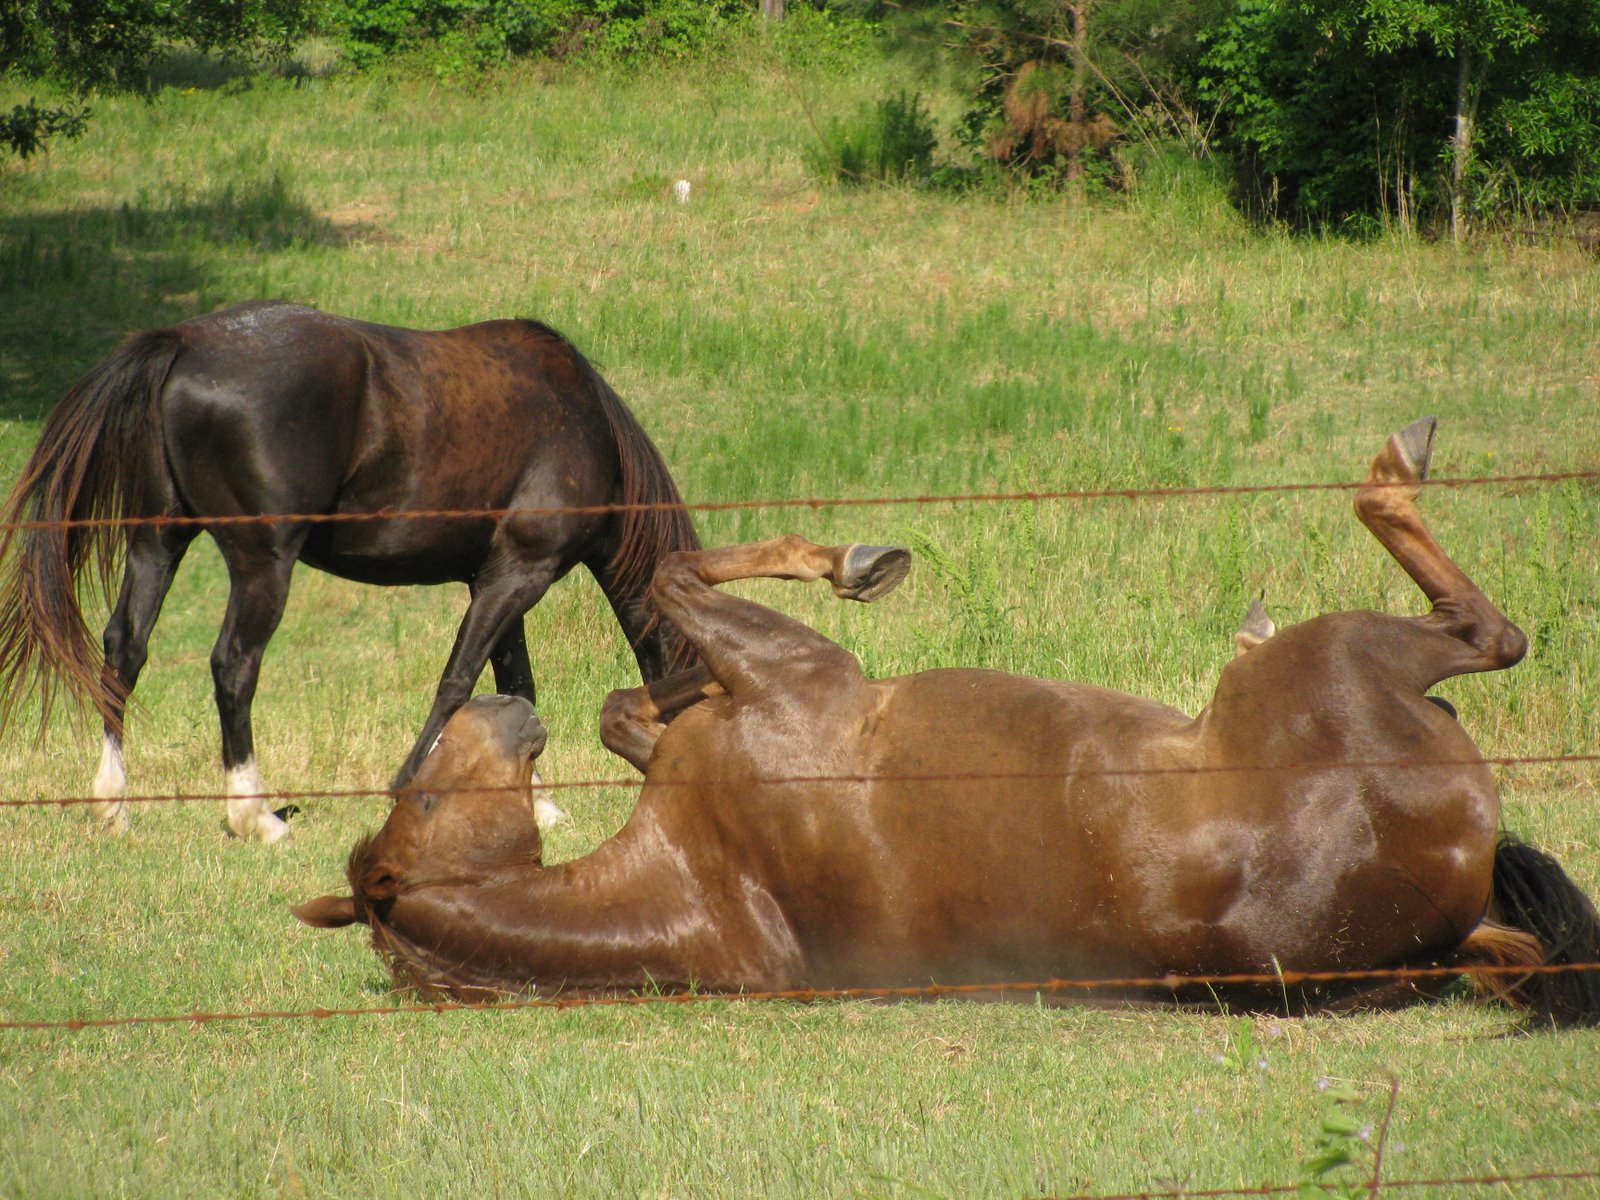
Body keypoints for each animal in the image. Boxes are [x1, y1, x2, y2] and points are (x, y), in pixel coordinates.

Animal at [0, 301, 699, 841]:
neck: (580, 420)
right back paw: (255, 815)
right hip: (262, 565)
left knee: (125, 650)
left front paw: (537, 803)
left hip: (157, 544)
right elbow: (460, 682)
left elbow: (516, 691)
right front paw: (410, 783)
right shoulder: (516, 577)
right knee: (234, 665)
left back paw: (114, 805)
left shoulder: (499, 580)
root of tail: (186, 342)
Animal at [292, 419, 1600, 1025]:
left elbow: (634, 694)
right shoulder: (797, 673)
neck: (719, 877)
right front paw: (855, 562)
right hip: (1346, 657)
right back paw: (1380, 487)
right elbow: (673, 579)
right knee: (1487, 632)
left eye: (408, 799)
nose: (504, 704)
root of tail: (1449, 901)